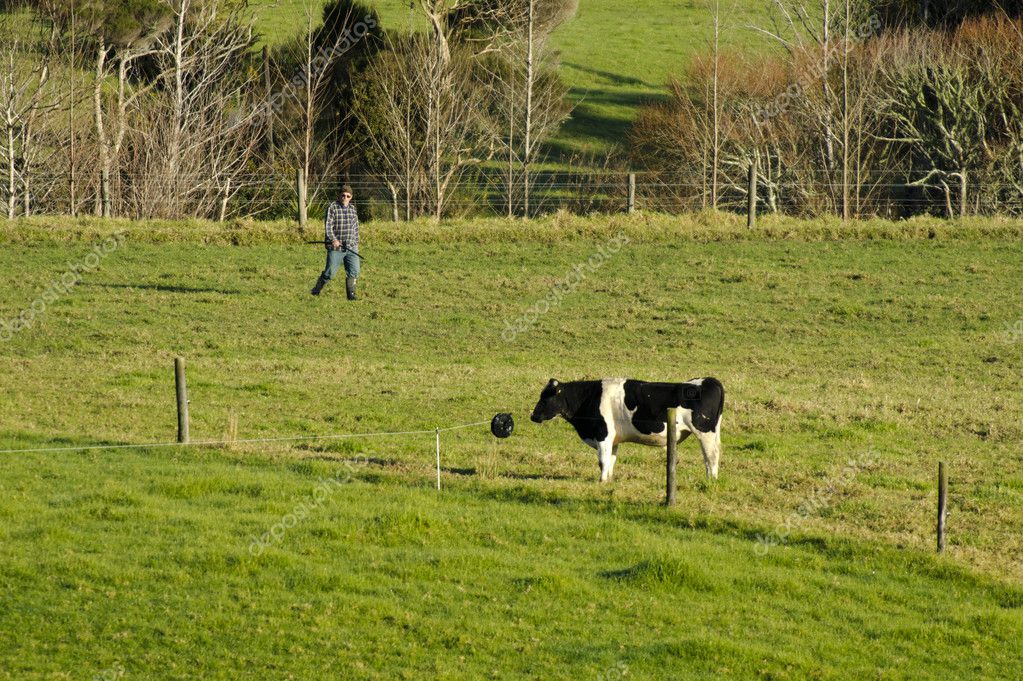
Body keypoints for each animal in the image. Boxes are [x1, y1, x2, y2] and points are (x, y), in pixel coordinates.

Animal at [531, 376, 724, 482]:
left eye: (545, 397)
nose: (533, 416)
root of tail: (708, 380)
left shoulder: (602, 434)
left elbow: (602, 460)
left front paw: (601, 481)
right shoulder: (613, 439)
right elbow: (611, 460)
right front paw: (608, 480)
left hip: (705, 433)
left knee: (711, 456)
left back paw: (711, 480)